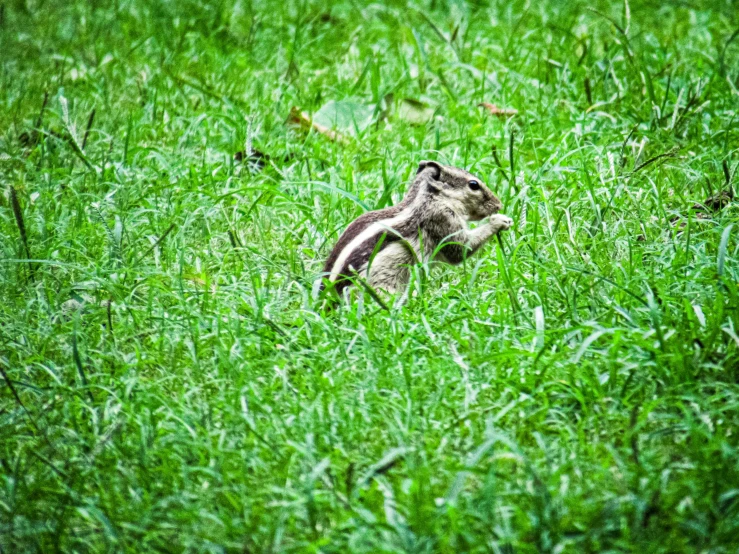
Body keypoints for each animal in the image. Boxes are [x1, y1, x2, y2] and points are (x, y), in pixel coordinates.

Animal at [318, 157, 516, 300]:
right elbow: (460, 249)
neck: (429, 198)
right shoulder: (442, 219)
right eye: (473, 185)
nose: (498, 204)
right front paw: (499, 221)